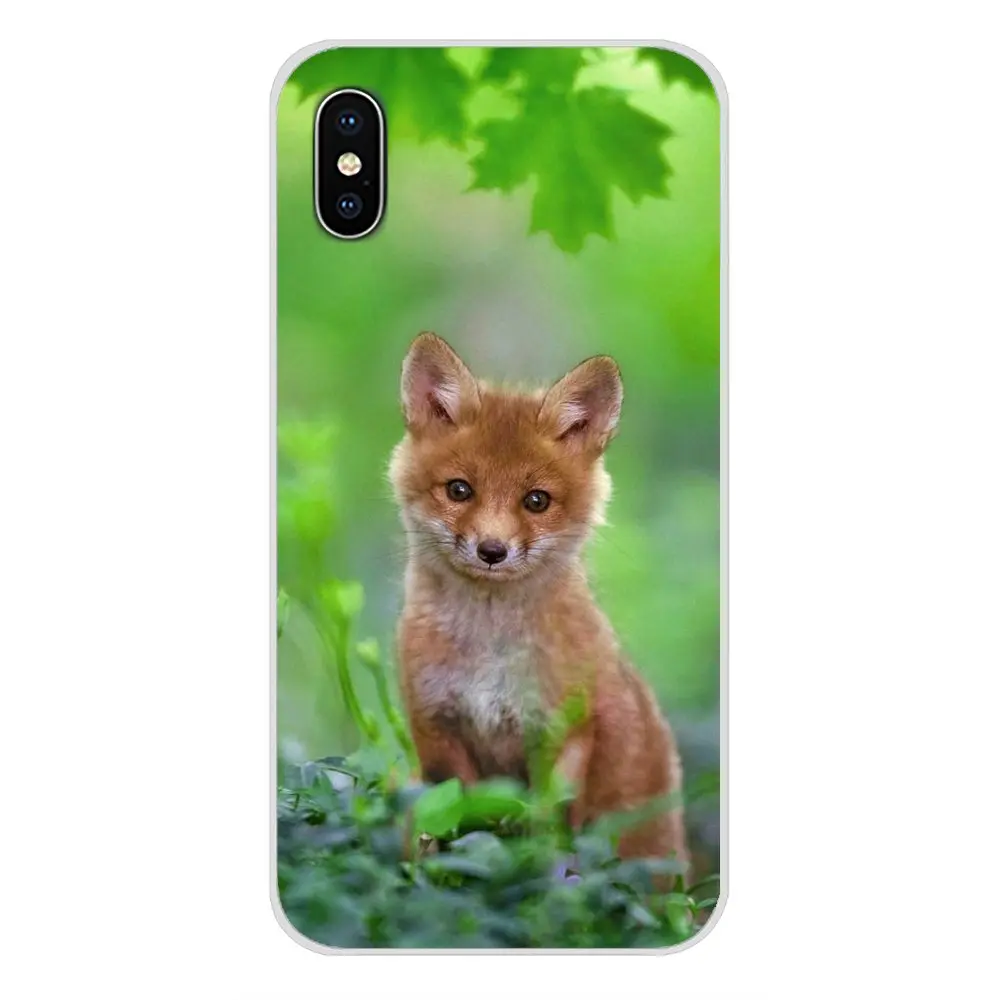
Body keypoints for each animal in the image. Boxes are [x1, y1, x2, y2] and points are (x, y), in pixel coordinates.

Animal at [389, 331, 688, 867]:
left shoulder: (563, 729)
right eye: (459, 490)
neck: (489, 656)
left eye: (536, 501)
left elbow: (546, 825)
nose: (492, 551)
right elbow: (462, 816)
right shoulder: (435, 728)